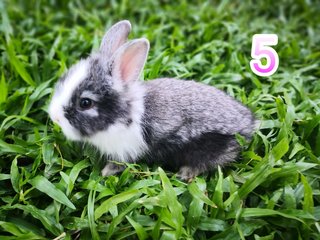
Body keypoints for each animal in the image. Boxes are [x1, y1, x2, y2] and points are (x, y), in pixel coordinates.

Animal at [48, 20, 256, 180]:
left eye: (85, 103)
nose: (54, 117)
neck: (121, 116)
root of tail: (249, 123)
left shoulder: (124, 150)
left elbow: (119, 163)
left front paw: (106, 172)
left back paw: (185, 173)